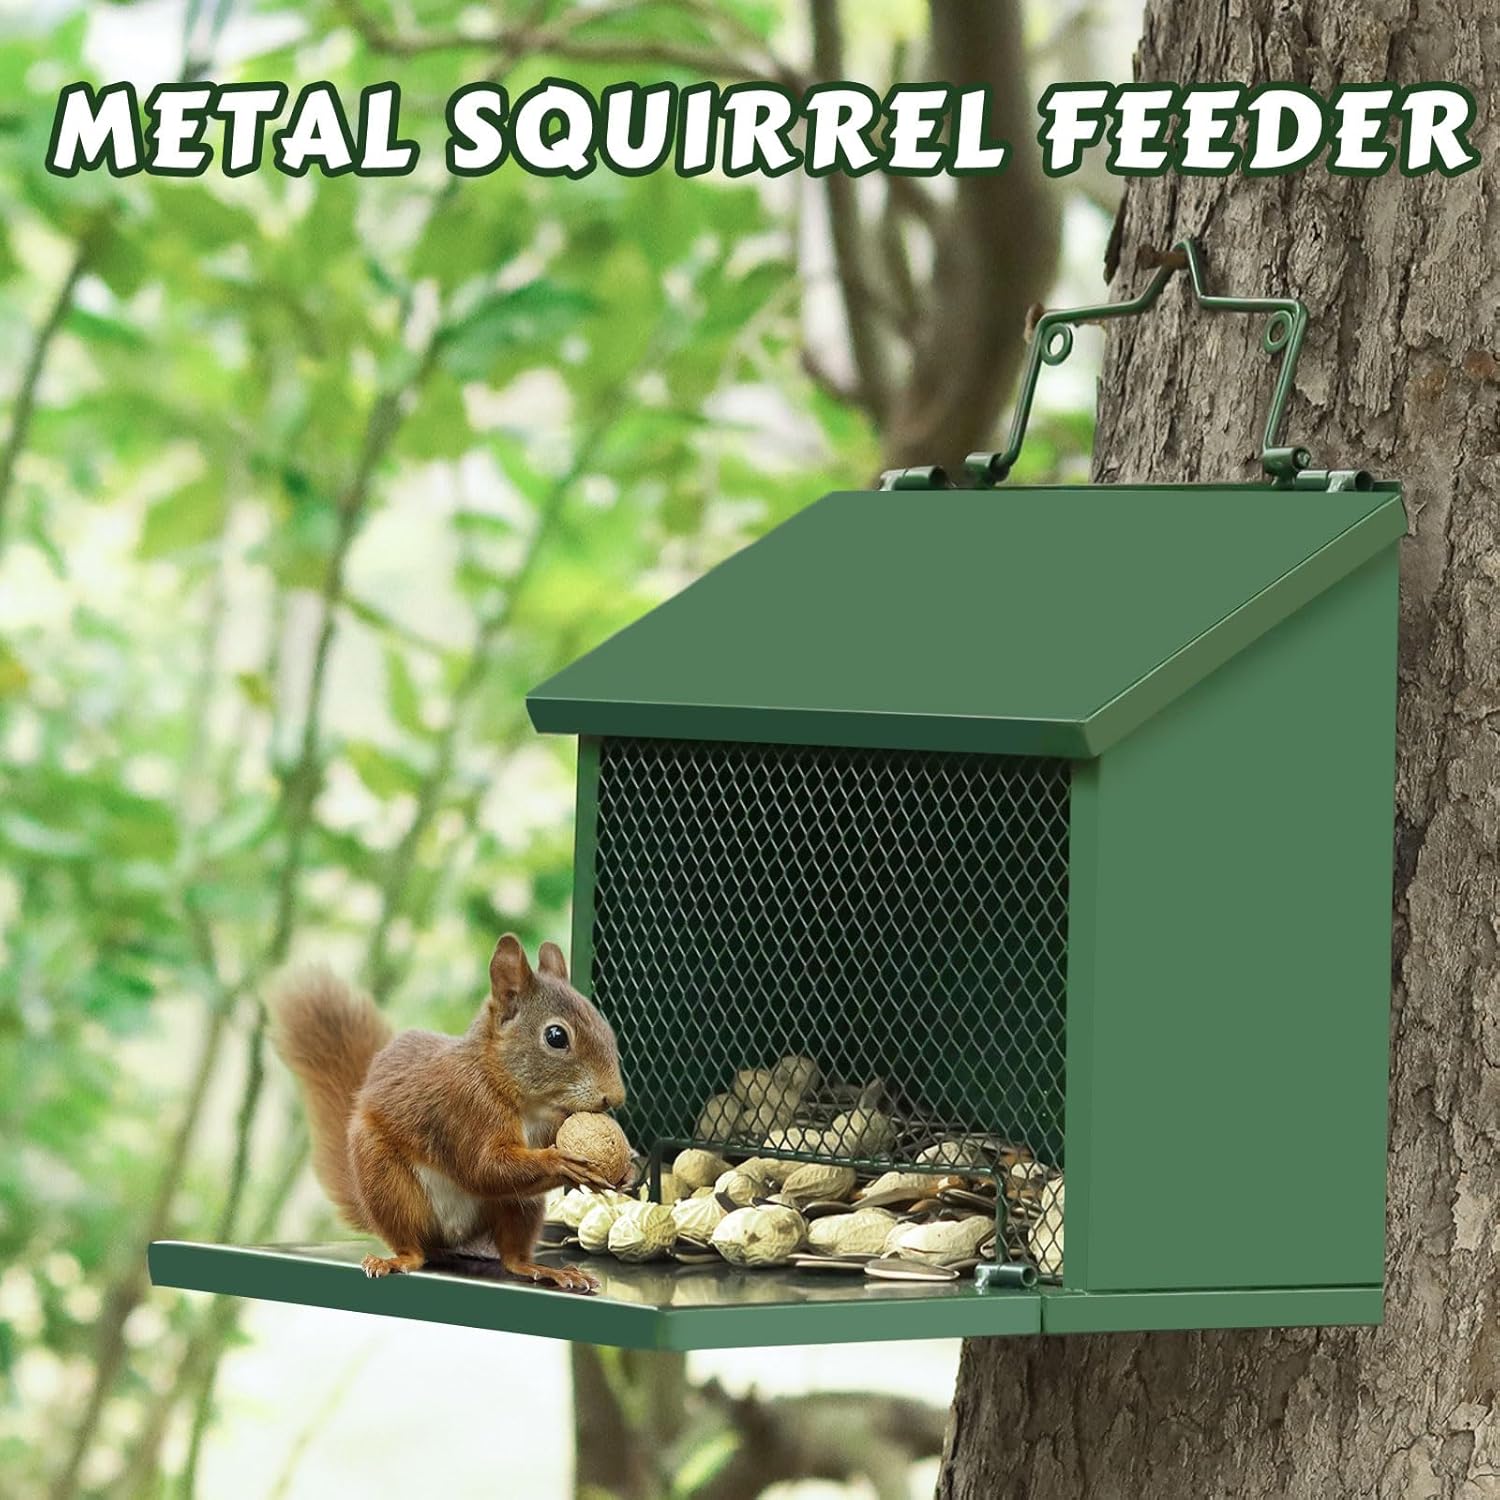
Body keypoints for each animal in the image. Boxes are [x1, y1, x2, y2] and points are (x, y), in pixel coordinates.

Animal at [269, 934, 627, 1293]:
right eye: (556, 1036)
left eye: (603, 1024)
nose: (616, 1097)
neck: (524, 1101)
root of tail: (455, 1238)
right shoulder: (465, 1109)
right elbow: (485, 1168)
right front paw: (560, 1161)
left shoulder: (552, 1123)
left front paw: (627, 1169)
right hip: (386, 1182)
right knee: (413, 1244)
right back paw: (400, 1259)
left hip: (519, 1207)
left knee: (512, 1255)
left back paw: (540, 1268)